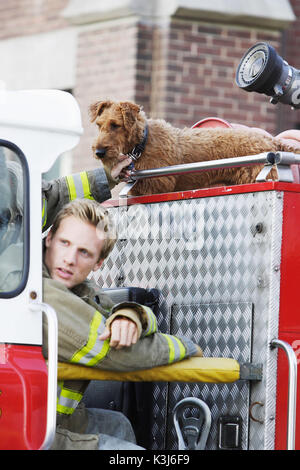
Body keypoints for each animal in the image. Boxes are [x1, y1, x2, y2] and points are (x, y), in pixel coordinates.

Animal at [89, 99, 298, 195]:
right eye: (99, 125)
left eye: (115, 125)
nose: (99, 152)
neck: (143, 142)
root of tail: (271, 141)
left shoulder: (157, 186)